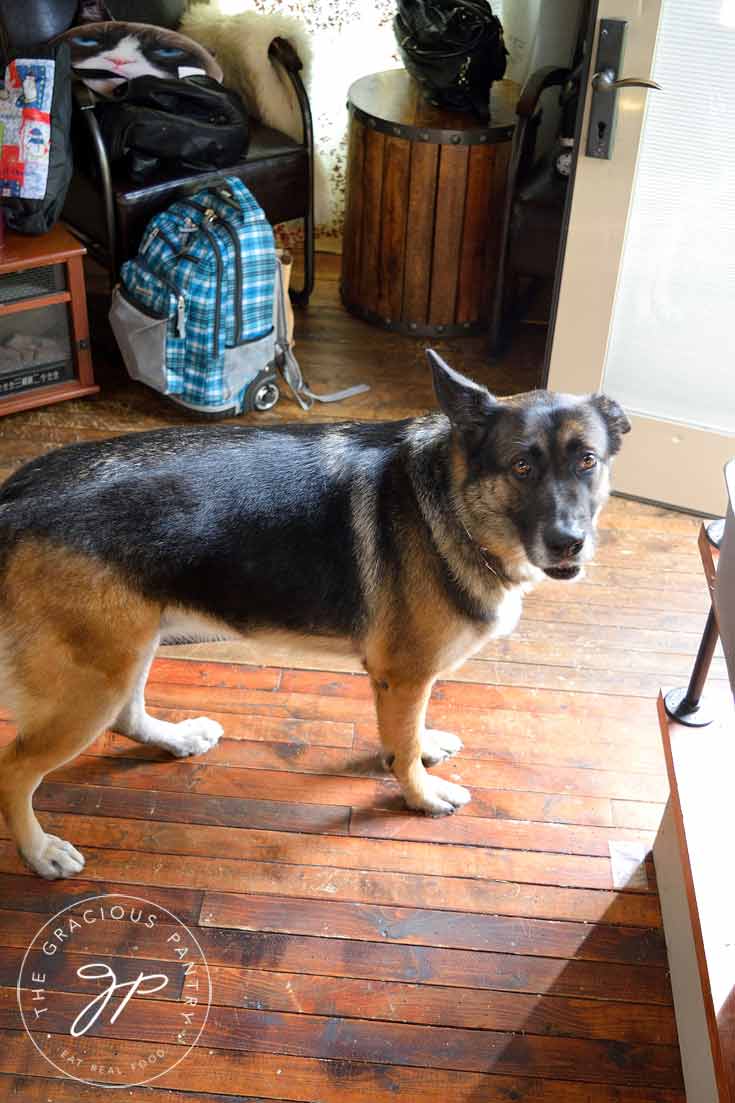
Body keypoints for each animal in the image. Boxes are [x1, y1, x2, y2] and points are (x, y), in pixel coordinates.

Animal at [0, 352, 631, 877]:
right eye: (522, 466)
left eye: (587, 461)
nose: (569, 544)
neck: (454, 502)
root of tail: (16, 494)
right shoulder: (403, 677)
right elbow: (401, 751)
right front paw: (422, 796)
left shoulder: (407, 683)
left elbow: (409, 734)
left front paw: (425, 746)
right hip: (93, 681)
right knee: (15, 770)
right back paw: (39, 850)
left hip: (124, 653)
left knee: (127, 718)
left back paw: (175, 739)